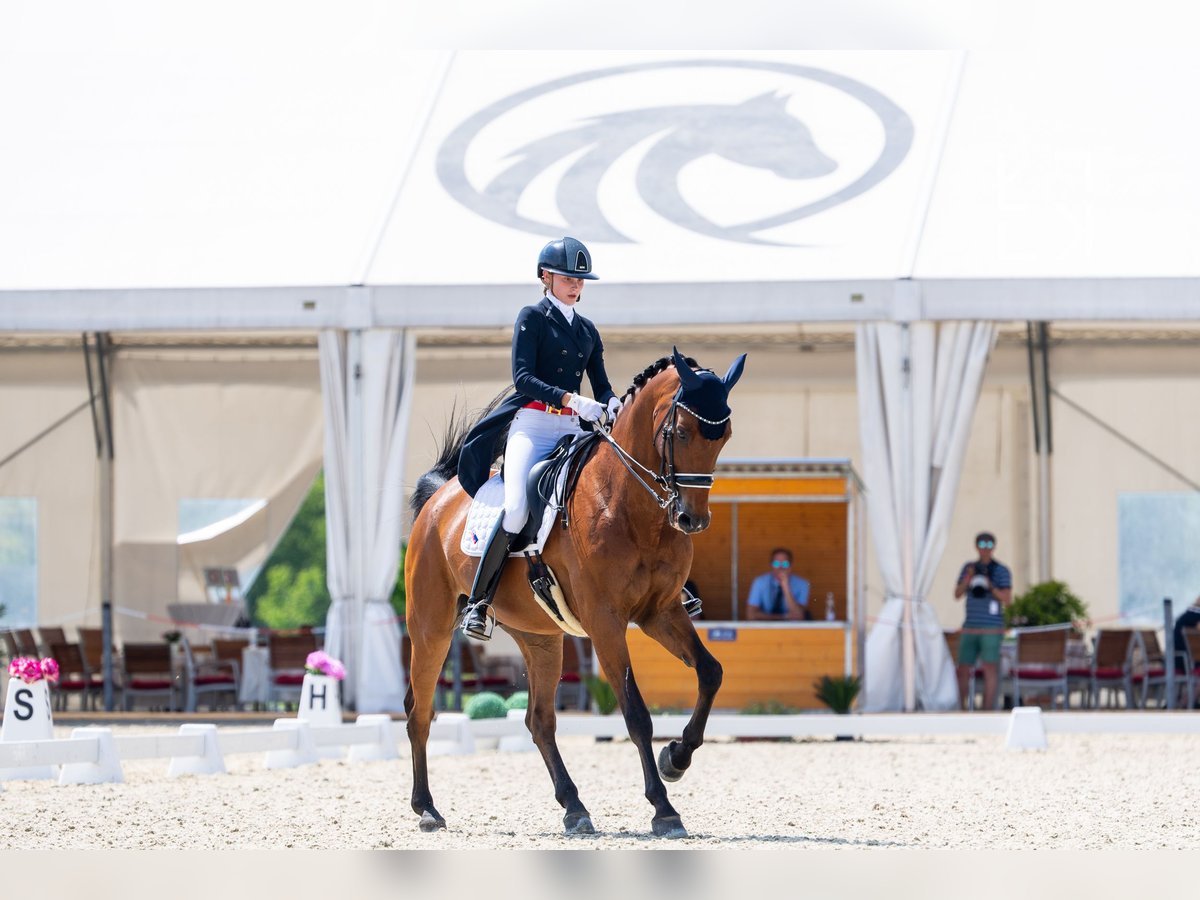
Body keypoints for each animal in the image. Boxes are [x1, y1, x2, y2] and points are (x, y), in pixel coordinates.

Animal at [408, 350, 744, 840]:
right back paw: (427, 808)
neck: (626, 504)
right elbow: (635, 713)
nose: (691, 519)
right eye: (681, 433)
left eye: (725, 437)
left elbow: (712, 672)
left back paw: (574, 807)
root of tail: (440, 499)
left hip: (541, 638)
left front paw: (676, 758)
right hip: (430, 629)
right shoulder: (606, 622)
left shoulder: (660, 612)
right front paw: (664, 809)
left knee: (539, 721)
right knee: (420, 713)